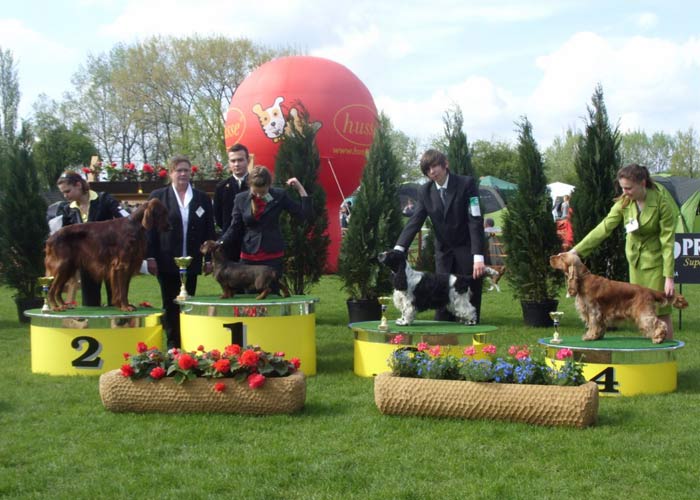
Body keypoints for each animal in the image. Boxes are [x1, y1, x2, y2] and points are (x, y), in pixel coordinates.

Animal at [550, 252, 688, 343]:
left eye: (561, 257)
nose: (550, 257)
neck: (583, 279)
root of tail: (648, 290)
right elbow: (599, 326)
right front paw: (598, 336)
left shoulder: (593, 310)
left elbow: (593, 324)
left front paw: (589, 336)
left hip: (643, 313)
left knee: (658, 323)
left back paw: (659, 337)